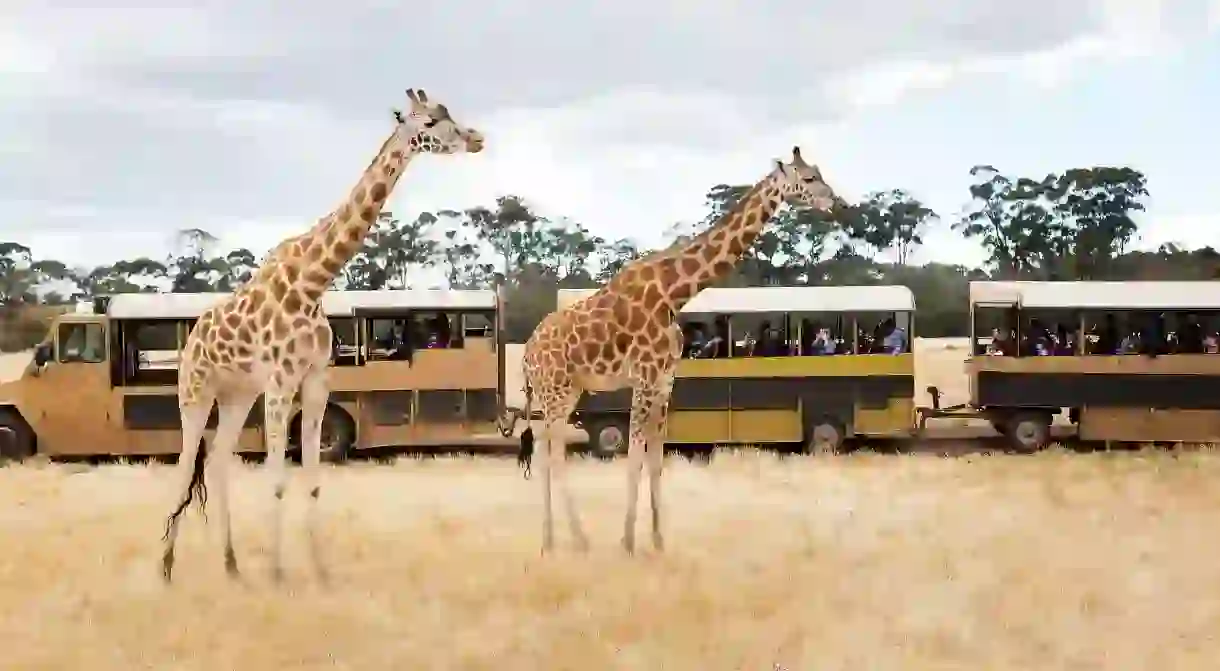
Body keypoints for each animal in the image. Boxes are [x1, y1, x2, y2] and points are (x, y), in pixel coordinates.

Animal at [159, 89, 483, 583]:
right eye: (429, 121)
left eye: (448, 112)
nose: (476, 138)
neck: (313, 282)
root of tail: (193, 336)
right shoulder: (279, 382)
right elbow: (276, 479)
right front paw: (277, 573)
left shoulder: (314, 380)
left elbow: (311, 481)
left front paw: (320, 570)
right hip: (195, 390)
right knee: (183, 465)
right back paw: (167, 567)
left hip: (237, 394)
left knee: (215, 464)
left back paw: (231, 566)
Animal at [519, 147, 844, 558]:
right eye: (808, 177)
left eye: (818, 172)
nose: (835, 201)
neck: (674, 294)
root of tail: (526, 352)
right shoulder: (643, 378)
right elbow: (634, 459)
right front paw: (627, 542)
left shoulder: (664, 381)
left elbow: (656, 460)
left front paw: (657, 541)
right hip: (555, 390)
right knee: (552, 456)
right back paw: (575, 540)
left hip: (567, 391)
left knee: (546, 453)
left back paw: (551, 540)